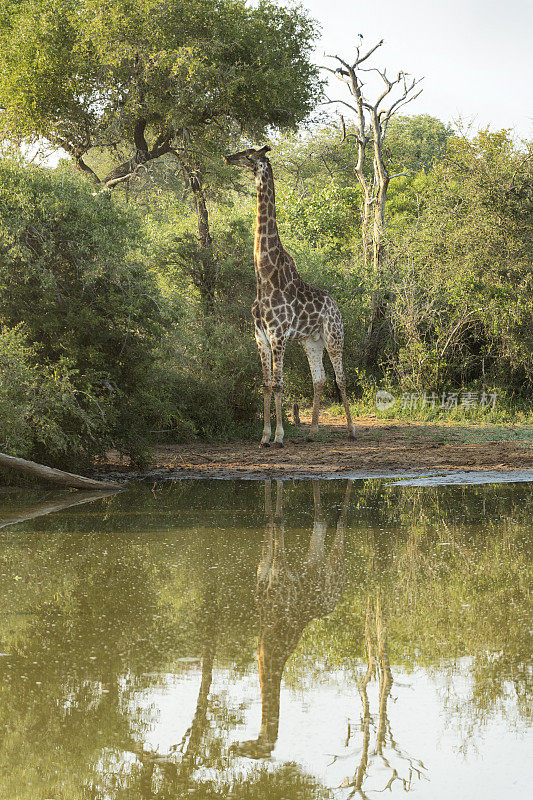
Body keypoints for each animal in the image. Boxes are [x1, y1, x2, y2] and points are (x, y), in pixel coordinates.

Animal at [222, 147, 356, 446]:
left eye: (249, 154)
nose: (228, 157)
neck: (265, 277)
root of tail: (336, 305)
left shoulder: (278, 334)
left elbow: (279, 383)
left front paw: (280, 436)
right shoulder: (260, 335)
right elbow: (265, 384)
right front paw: (264, 437)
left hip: (334, 335)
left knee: (341, 378)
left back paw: (352, 430)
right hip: (312, 341)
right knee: (319, 379)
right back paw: (313, 431)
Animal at [232, 478, 350, 760]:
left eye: (254, 753)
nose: (236, 747)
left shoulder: (280, 567)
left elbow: (279, 519)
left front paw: (276, 512)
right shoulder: (265, 565)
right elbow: (269, 520)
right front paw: (268, 511)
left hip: (334, 570)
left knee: (339, 525)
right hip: (314, 560)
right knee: (320, 520)